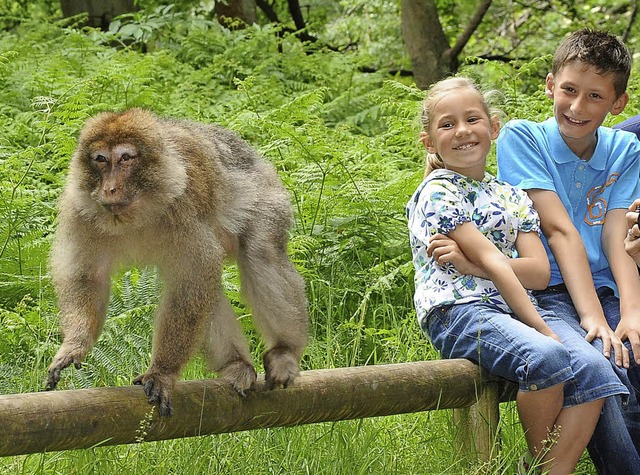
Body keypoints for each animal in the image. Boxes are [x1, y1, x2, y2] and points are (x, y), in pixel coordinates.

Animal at [45, 108, 310, 416]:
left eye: (126, 158)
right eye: (100, 159)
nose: (109, 188)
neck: (136, 213)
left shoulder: (182, 205)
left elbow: (192, 278)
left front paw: (162, 372)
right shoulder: (79, 211)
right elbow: (88, 276)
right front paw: (75, 344)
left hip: (267, 196)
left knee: (261, 254)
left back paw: (284, 352)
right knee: (211, 288)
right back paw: (235, 365)